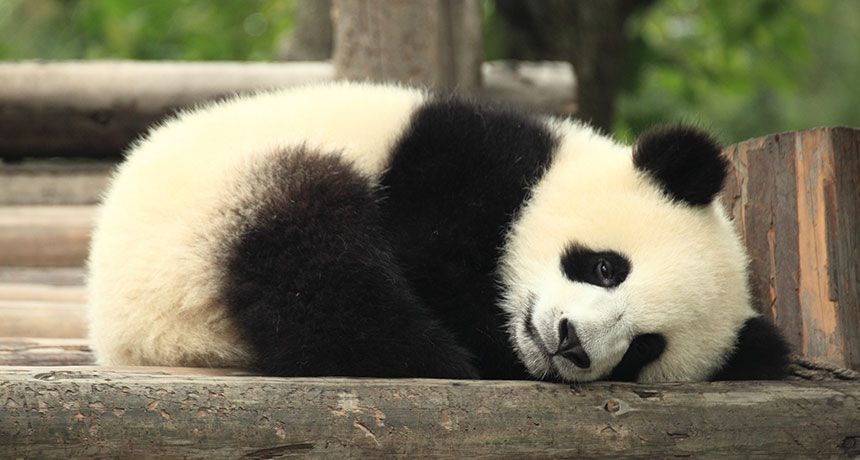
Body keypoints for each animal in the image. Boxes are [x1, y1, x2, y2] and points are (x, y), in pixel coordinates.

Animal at [87, 81, 790, 382]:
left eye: (645, 348)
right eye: (606, 266)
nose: (570, 345)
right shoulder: (458, 164)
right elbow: (428, 258)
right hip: (214, 212)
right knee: (316, 262)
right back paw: (431, 357)